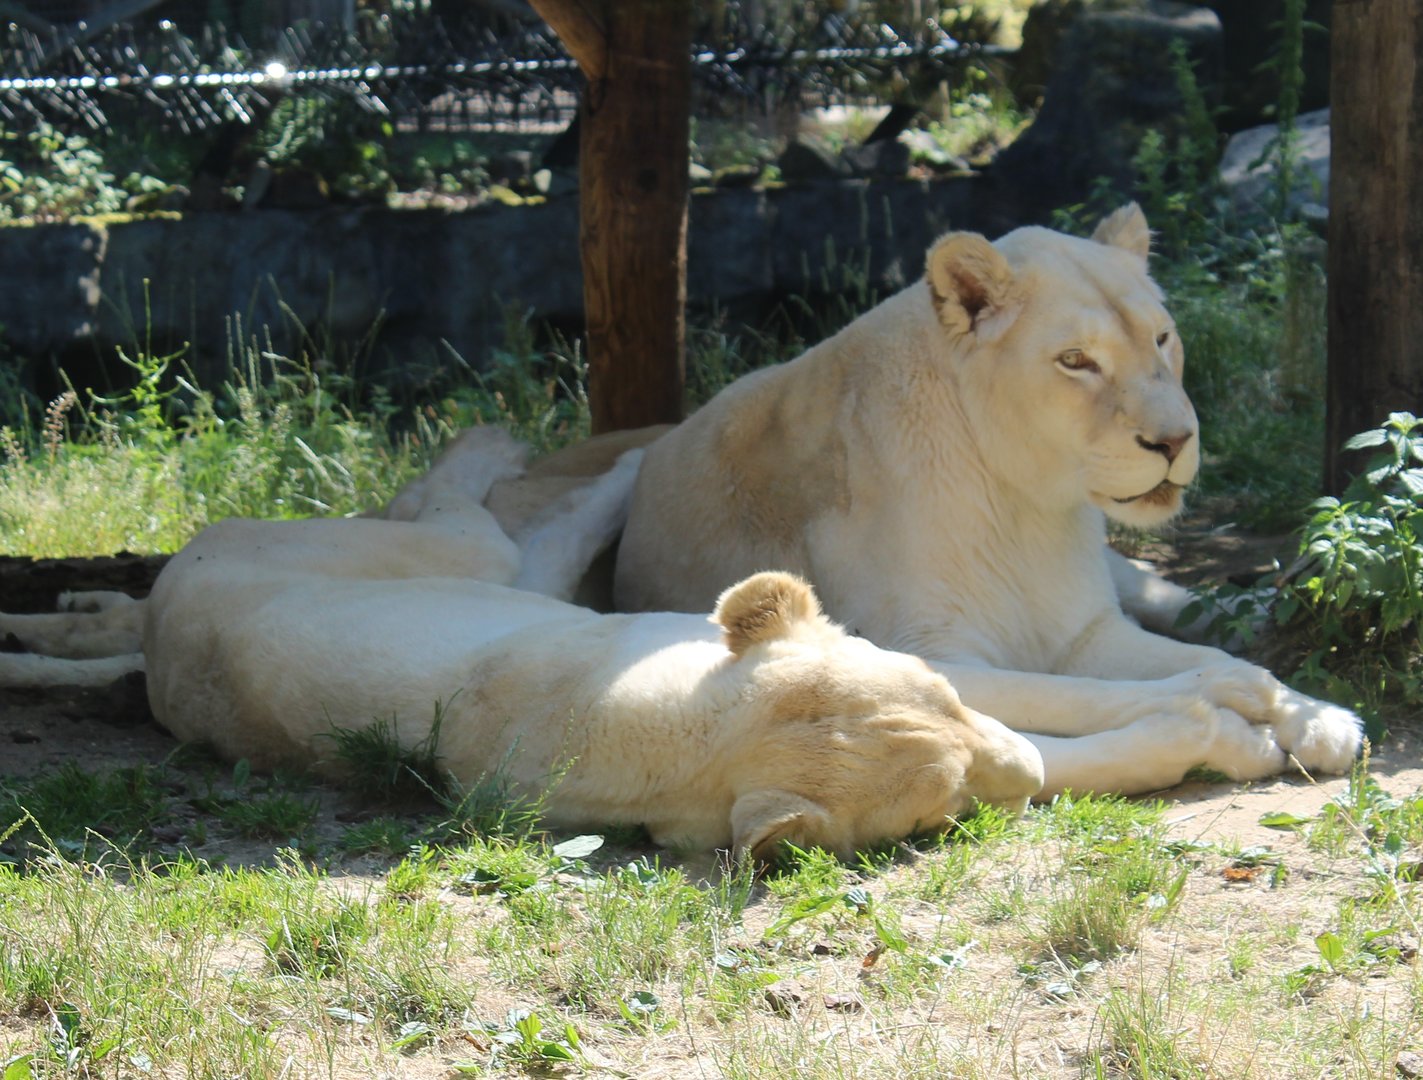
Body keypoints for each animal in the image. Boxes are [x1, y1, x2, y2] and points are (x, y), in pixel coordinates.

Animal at [0, 427, 1043, 858]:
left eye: (948, 692)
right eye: (940, 813)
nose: (1031, 775)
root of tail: (179, 590)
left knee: (107, 627)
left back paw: (59, 616)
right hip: (422, 553)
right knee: (470, 509)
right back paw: (522, 447)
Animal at [614, 204, 1363, 797]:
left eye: (1161, 337)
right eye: (1075, 361)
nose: (1175, 440)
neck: (1027, 506)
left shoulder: (1087, 629)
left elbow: (1184, 657)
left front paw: (1317, 716)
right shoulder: (927, 648)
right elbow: (1077, 691)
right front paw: (1235, 707)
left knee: (1174, 595)